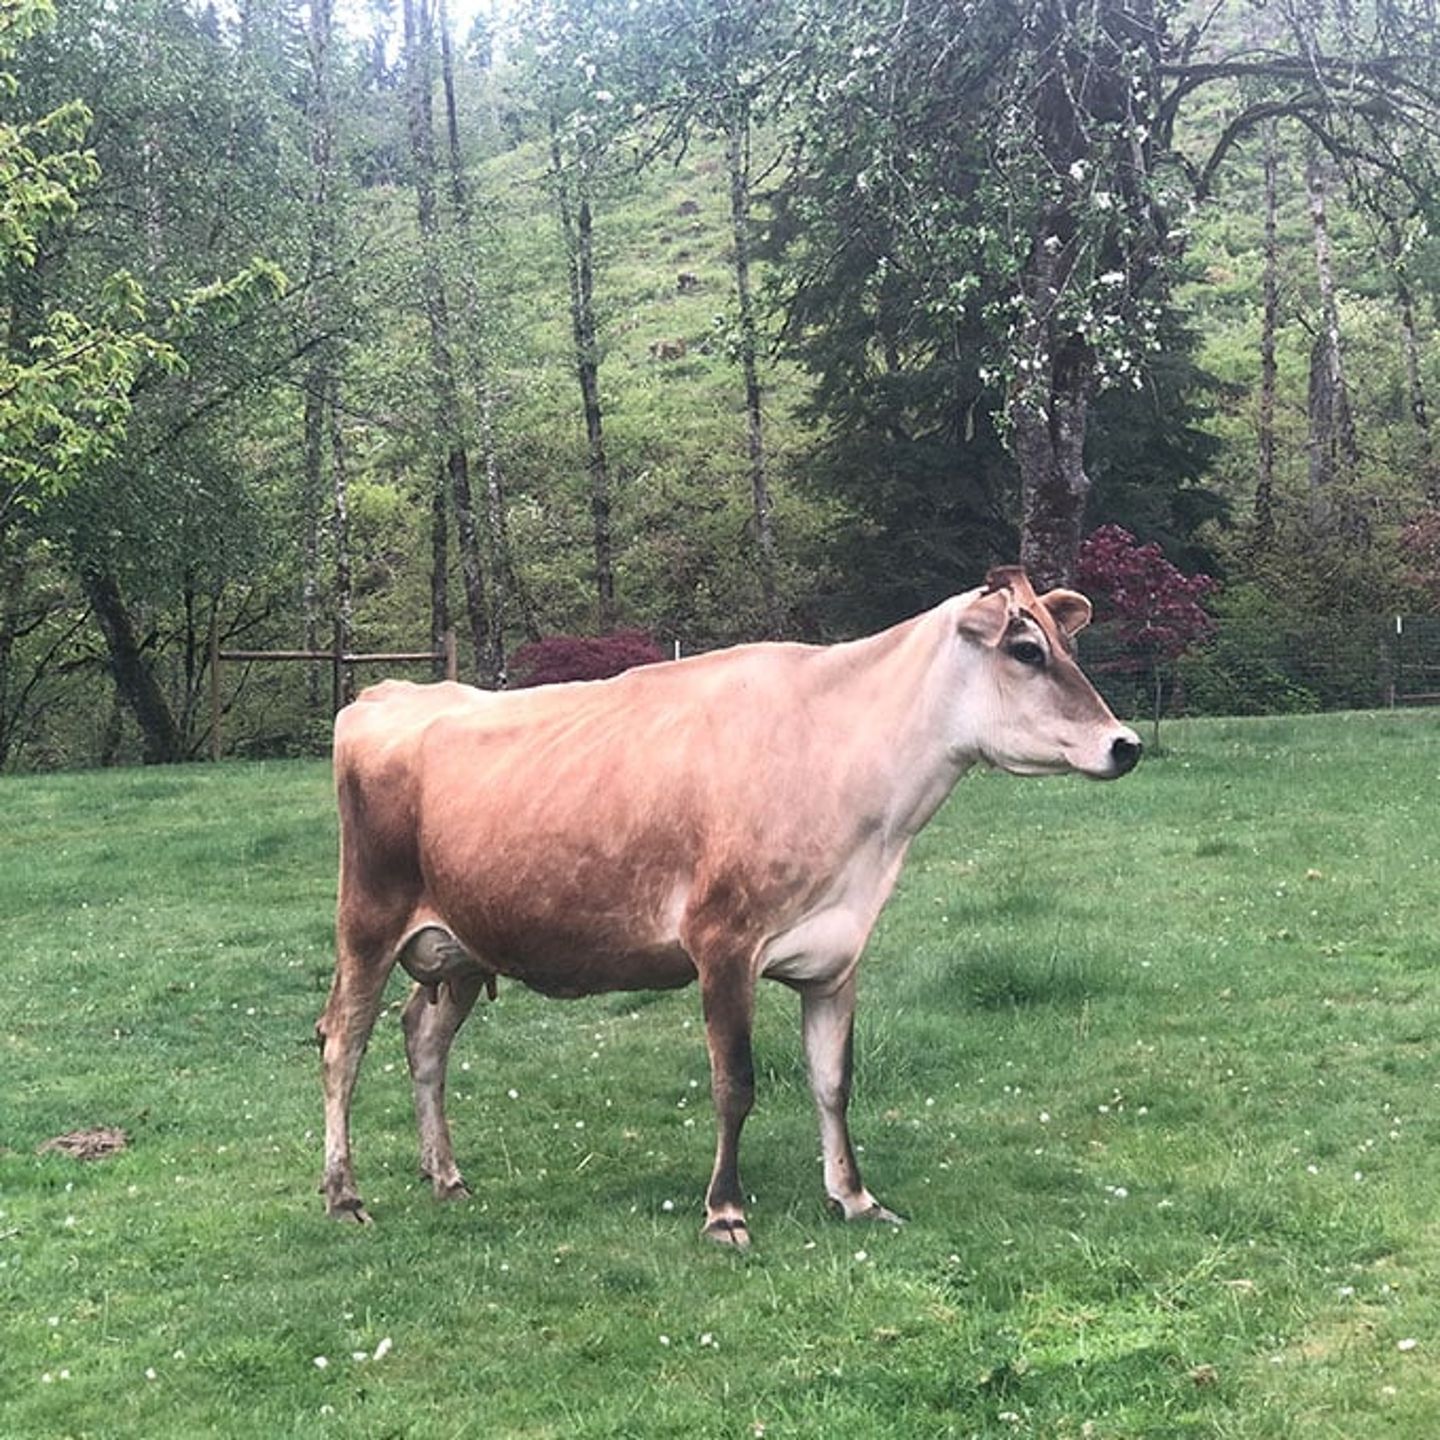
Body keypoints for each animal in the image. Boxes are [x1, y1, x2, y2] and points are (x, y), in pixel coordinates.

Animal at [317, 566, 1140, 1247]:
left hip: (461, 942)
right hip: (369, 918)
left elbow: (833, 1082)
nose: (1125, 743)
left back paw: (446, 1177)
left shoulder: (838, 954)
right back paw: (345, 1195)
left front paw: (856, 1197)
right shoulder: (723, 943)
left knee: (424, 1038)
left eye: (1069, 644)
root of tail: (389, 694)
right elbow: (734, 1084)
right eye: (1026, 651)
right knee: (342, 1042)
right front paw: (725, 1212)